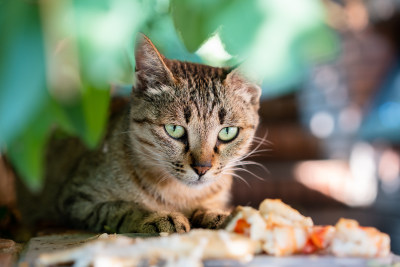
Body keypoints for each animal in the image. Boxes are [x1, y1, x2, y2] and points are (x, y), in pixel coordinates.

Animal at [17, 35, 260, 234]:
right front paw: (157, 216)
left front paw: (219, 214)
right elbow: (122, 207)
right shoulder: (76, 198)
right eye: (174, 130)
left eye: (227, 132)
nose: (202, 168)